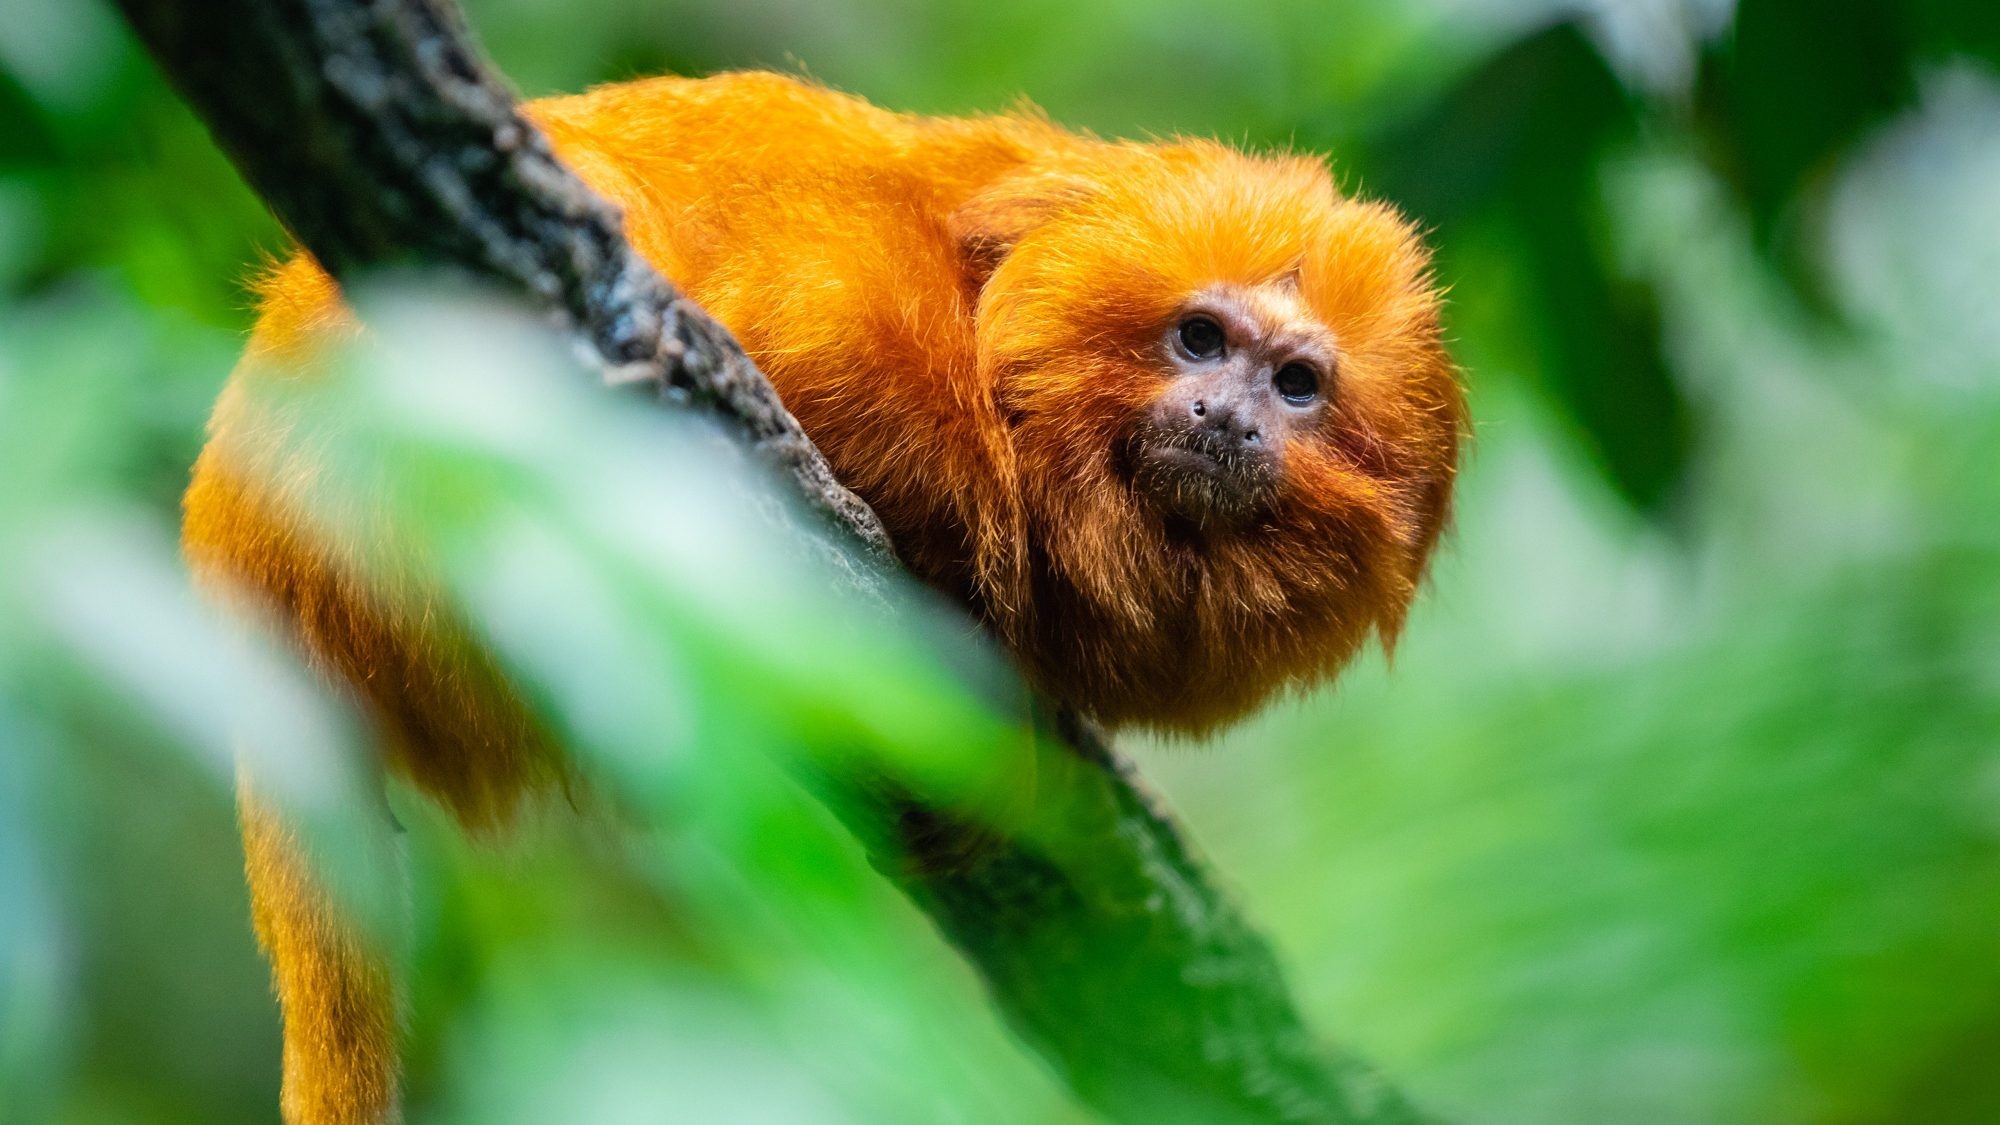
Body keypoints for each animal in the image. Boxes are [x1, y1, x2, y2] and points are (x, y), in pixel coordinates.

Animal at [180, 70, 1464, 1120]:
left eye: (1294, 385)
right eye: (1197, 339)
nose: (1228, 418)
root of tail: (237, 529)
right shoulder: (854, 308)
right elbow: (806, 317)